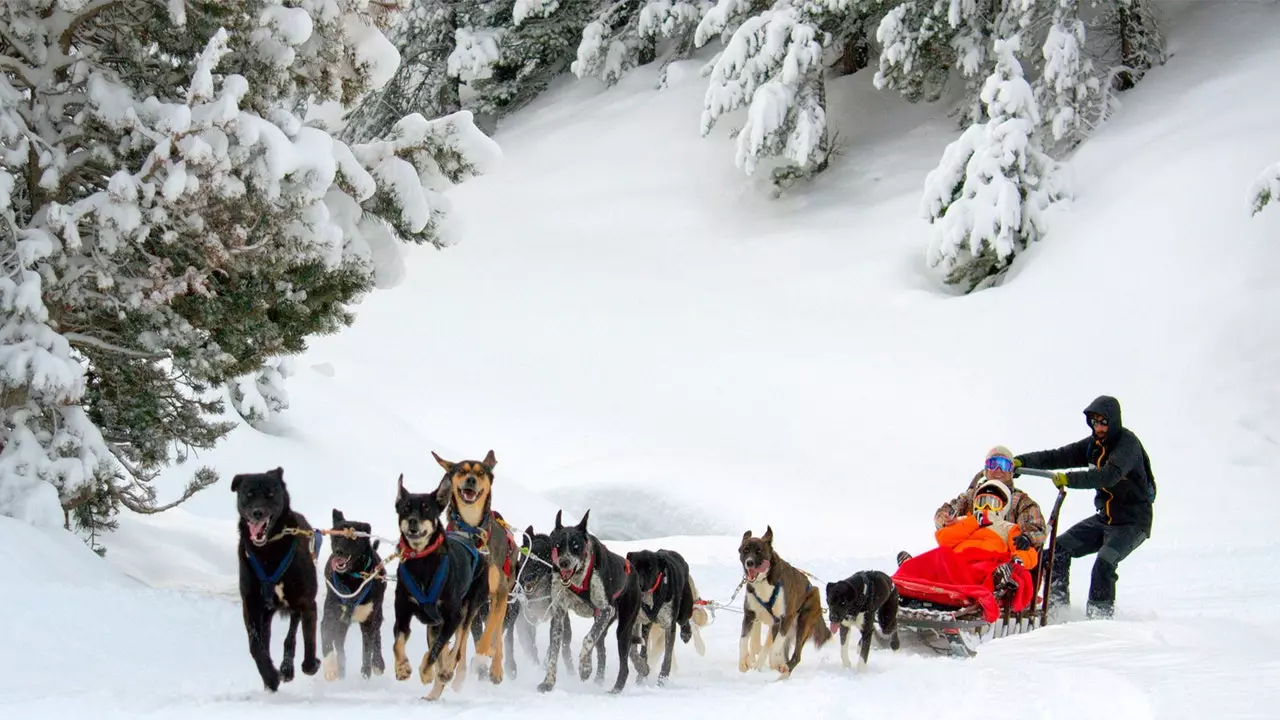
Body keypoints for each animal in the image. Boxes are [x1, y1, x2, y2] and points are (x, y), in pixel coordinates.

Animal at [318, 507, 384, 681]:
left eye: (353, 538)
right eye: (337, 535)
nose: (339, 551)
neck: (351, 579)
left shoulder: (368, 621)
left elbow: (367, 648)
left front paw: (366, 671)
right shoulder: (329, 618)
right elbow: (327, 644)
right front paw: (330, 669)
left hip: (376, 614)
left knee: (377, 636)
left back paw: (378, 663)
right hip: (341, 624)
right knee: (339, 645)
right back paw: (341, 667)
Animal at [389, 474, 488, 696]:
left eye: (426, 508)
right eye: (406, 508)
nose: (413, 521)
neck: (421, 560)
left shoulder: (453, 616)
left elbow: (437, 650)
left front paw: (427, 671)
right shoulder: (403, 613)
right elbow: (398, 643)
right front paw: (402, 668)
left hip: (468, 609)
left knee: (458, 646)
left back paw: (445, 671)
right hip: (435, 624)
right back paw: (435, 689)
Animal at [537, 507, 645, 691]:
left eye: (576, 546)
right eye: (557, 545)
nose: (564, 562)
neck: (578, 579)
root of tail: (634, 574)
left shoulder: (606, 610)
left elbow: (587, 639)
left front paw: (585, 668)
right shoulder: (559, 614)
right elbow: (553, 652)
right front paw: (548, 682)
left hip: (622, 627)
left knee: (623, 662)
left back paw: (616, 689)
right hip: (605, 624)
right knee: (603, 649)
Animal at [737, 525, 834, 676]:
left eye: (759, 551)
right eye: (745, 550)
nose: (749, 563)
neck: (764, 582)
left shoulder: (784, 618)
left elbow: (772, 647)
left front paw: (769, 662)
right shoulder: (750, 615)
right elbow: (743, 640)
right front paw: (743, 662)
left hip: (803, 621)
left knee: (796, 656)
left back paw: (784, 670)